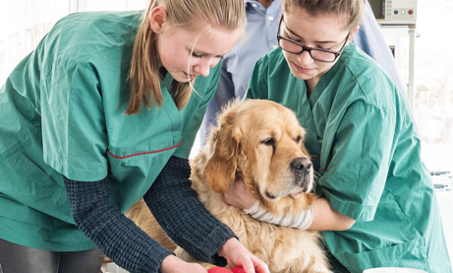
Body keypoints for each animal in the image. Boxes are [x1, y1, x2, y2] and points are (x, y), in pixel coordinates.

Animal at [127, 99, 328, 272]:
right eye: (268, 141)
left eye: (298, 138)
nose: (305, 165)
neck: (265, 223)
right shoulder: (192, 258)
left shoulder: (307, 258)